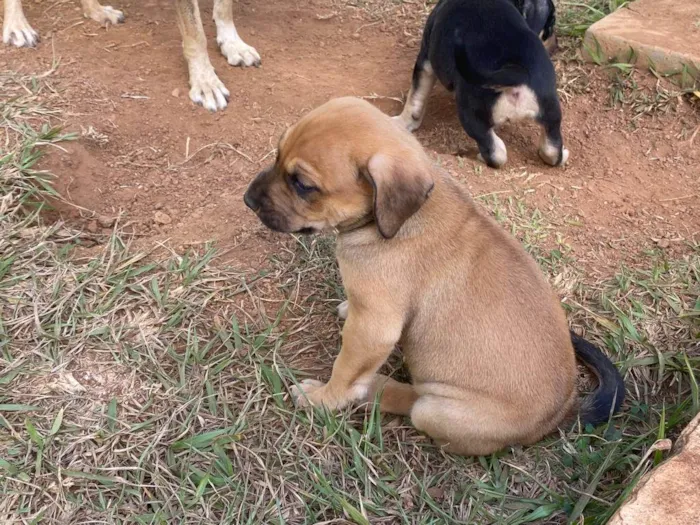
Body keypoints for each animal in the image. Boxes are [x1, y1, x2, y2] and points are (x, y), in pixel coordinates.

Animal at [242, 97, 624, 454]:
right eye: (277, 153)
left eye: (303, 185)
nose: (248, 200)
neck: (396, 219)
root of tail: (562, 415)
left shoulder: (374, 330)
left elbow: (345, 369)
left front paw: (322, 398)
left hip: (439, 410)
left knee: (414, 402)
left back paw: (374, 389)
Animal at [394, 0, 568, 168]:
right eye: (551, 23)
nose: (557, 44)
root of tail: (516, 71)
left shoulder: (426, 60)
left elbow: (415, 99)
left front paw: (401, 123)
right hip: (552, 113)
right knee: (551, 150)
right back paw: (563, 155)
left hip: (472, 115)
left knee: (496, 153)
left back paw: (481, 156)